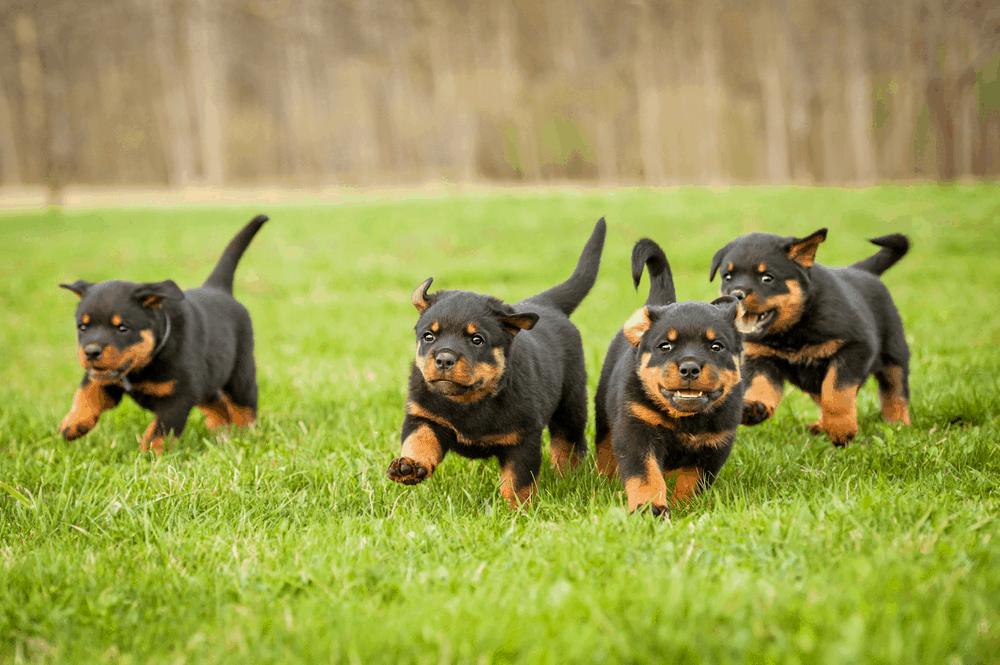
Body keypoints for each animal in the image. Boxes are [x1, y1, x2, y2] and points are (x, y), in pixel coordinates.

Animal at [386, 219, 604, 508]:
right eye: (428, 336)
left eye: (477, 340)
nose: (443, 359)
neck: (469, 401)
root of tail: (546, 304)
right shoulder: (423, 415)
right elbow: (419, 440)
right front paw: (408, 466)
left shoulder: (523, 438)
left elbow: (518, 480)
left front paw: (518, 510)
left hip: (572, 402)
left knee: (568, 443)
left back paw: (568, 477)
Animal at [592, 239, 752, 520]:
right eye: (665, 346)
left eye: (716, 347)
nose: (689, 368)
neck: (685, 421)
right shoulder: (637, 431)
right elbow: (646, 475)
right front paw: (650, 509)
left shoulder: (713, 445)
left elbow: (690, 480)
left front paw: (684, 507)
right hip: (604, 414)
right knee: (604, 449)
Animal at [708, 228, 912, 446]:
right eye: (727, 277)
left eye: (767, 278)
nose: (736, 295)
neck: (792, 330)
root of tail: (864, 271)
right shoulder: (761, 357)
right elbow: (761, 384)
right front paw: (755, 407)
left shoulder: (855, 347)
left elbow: (836, 391)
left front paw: (841, 429)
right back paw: (820, 426)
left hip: (894, 353)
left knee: (895, 391)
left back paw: (898, 424)